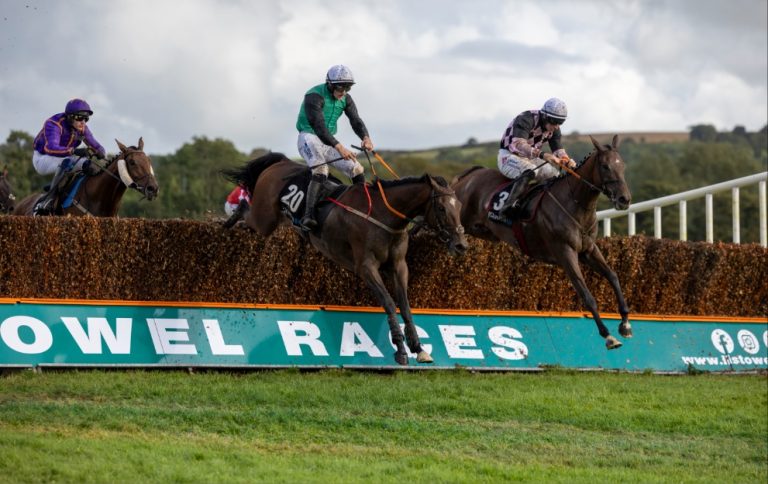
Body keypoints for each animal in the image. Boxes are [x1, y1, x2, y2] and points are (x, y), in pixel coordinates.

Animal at [224, 153, 468, 364]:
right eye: (441, 208)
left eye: (459, 206)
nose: (461, 245)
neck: (383, 216)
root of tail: (281, 162)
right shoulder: (366, 267)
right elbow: (389, 303)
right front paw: (400, 349)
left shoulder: (399, 266)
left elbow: (405, 306)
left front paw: (418, 348)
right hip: (264, 219)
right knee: (246, 208)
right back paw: (229, 220)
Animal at [450, 134, 632, 350]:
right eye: (605, 166)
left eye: (623, 166)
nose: (624, 199)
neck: (575, 204)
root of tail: (470, 175)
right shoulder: (565, 251)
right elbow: (586, 294)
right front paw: (607, 335)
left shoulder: (588, 249)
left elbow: (613, 276)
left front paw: (625, 324)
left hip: (482, 231)